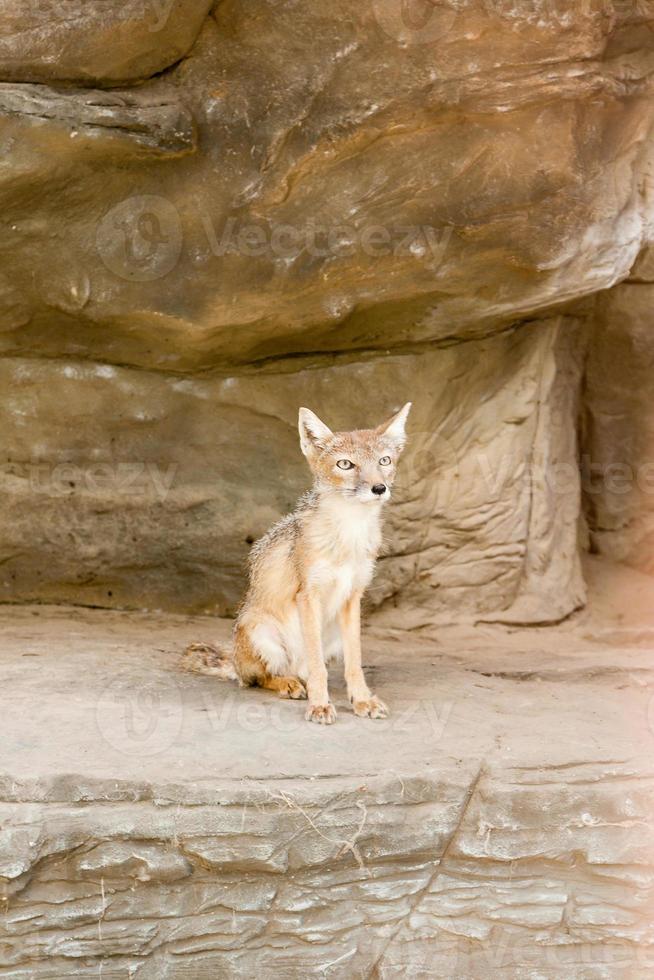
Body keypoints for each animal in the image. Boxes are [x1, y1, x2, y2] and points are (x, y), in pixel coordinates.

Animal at [182, 402, 412, 724]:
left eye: (384, 460)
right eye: (345, 465)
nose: (379, 488)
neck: (347, 536)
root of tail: (235, 662)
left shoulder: (352, 598)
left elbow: (354, 663)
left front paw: (362, 699)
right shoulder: (308, 595)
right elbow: (318, 668)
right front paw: (320, 704)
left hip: (333, 636)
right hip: (260, 631)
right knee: (259, 678)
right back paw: (288, 684)